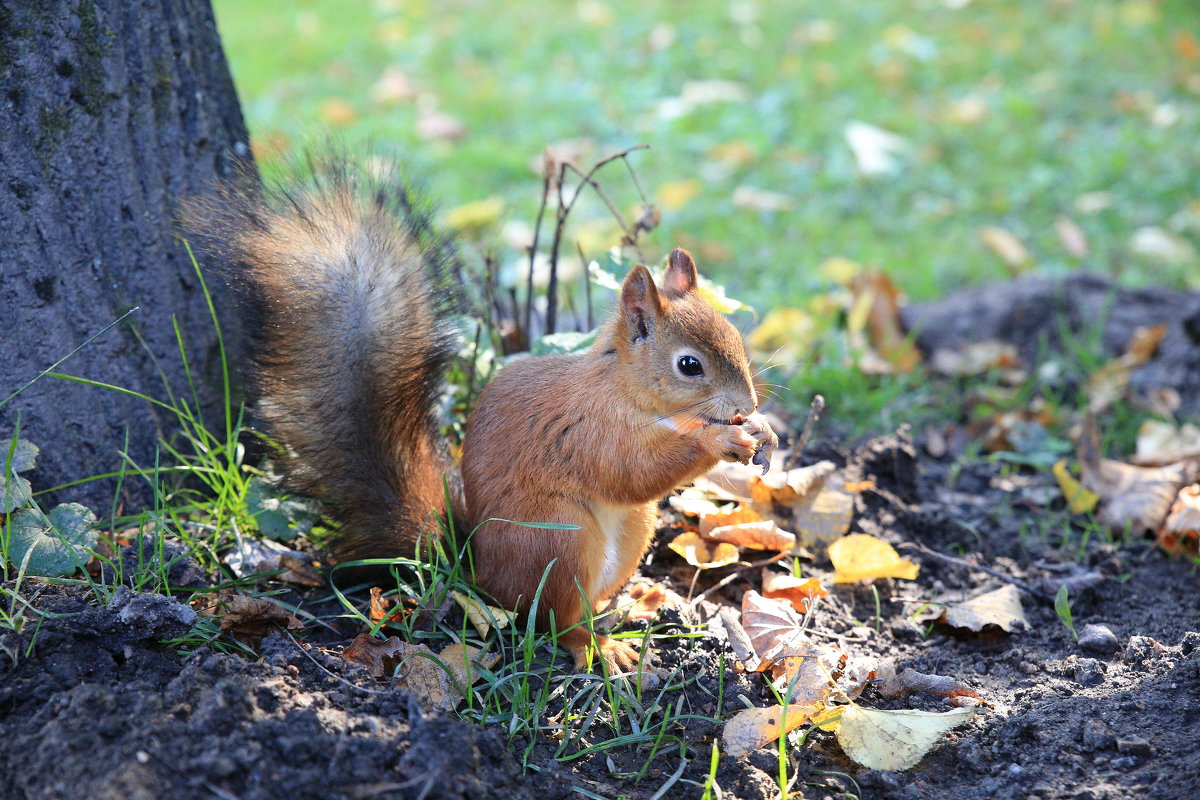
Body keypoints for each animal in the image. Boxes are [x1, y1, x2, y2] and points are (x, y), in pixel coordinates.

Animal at [181, 159, 772, 671]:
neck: (626, 392)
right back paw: (597, 648)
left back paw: (628, 606)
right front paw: (719, 443)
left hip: (631, 533)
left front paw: (758, 433)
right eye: (689, 365)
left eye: (735, 336)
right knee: (555, 620)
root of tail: (479, 575)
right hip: (556, 537)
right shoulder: (587, 432)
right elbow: (630, 473)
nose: (747, 405)